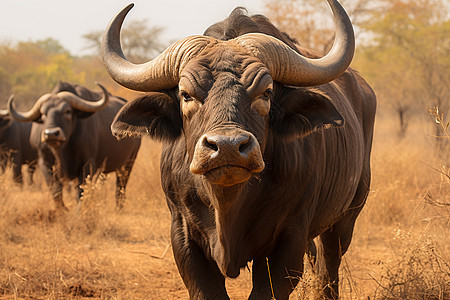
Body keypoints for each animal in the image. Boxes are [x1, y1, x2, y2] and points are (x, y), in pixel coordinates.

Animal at [7, 81, 142, 210]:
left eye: (67, 111)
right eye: (43, 114)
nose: (51, 134)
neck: (62, 151)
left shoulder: (87, 163)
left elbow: (81, 192)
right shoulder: (45, 162)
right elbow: (55, 190)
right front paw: (63, 210)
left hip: (129, 162)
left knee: (121, 186)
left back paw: (118, 208)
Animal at [101, 0, 376, 298]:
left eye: (266, 93)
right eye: (185, 94)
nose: (227, 147)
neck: (228, 206)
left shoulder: (289, 239)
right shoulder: (183, 236)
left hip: (347, 217)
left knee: (329, 269)